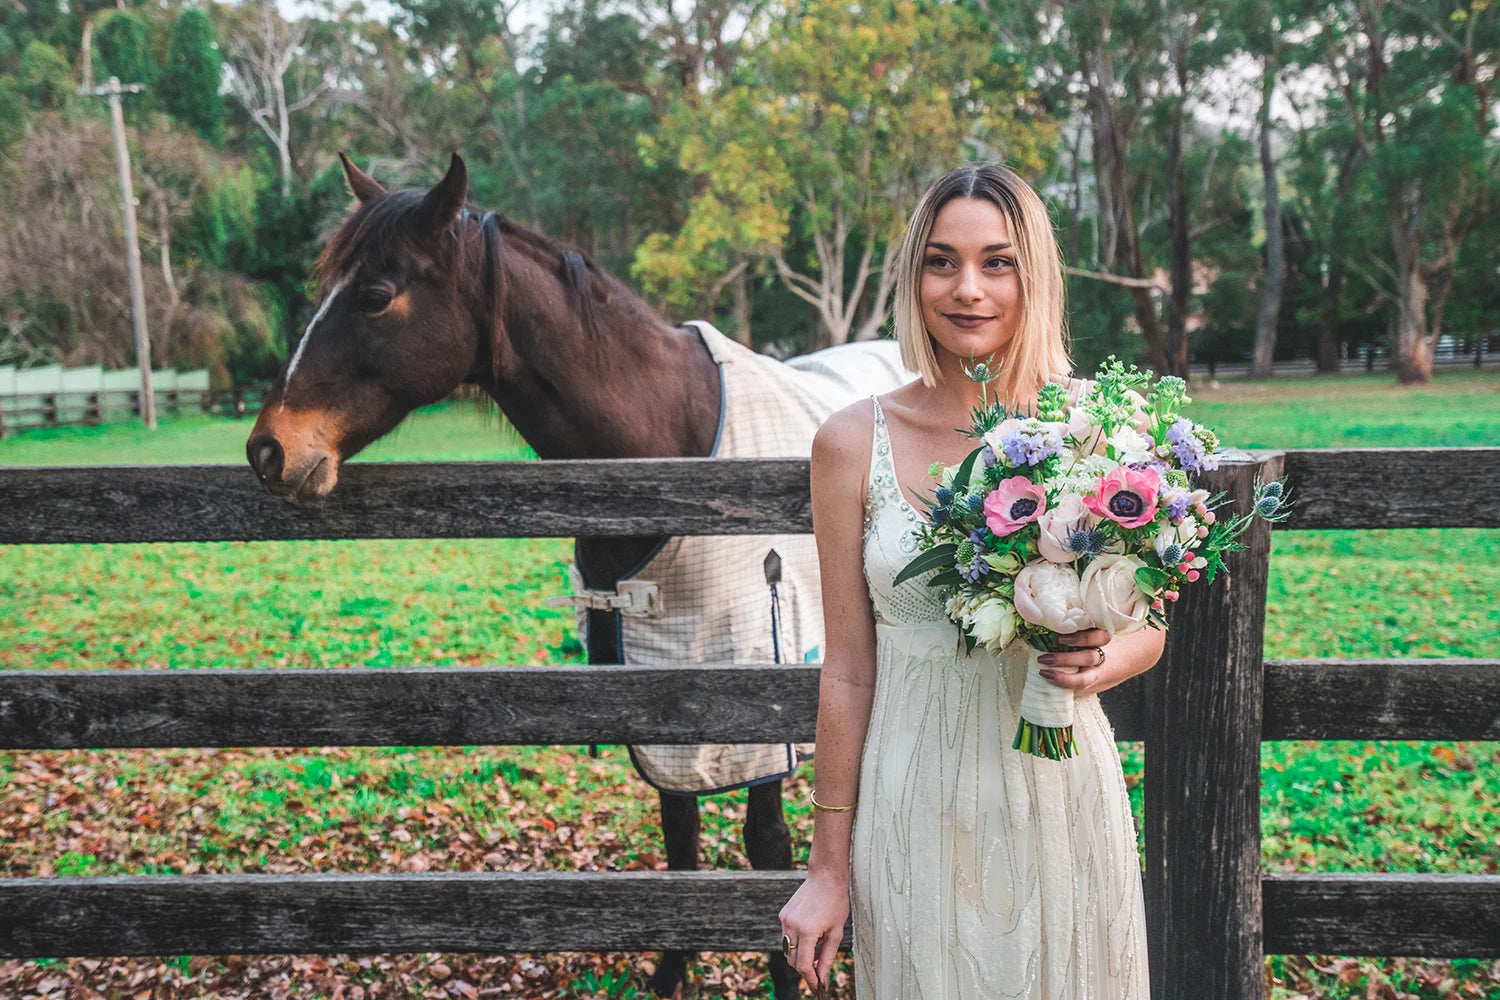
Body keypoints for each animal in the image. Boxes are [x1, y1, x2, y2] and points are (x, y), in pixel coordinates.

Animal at [246, 150, 810, 1000]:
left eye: (375, 295)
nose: (268, 449)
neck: (668, 450)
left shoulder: (759, 701)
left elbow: (767, 849)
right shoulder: (661, 695)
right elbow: (680, 835)